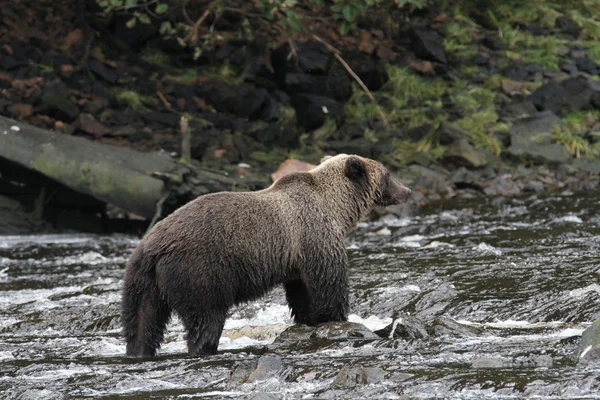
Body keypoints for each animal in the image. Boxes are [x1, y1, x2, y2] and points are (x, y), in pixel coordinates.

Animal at [122, 152, 412, 356]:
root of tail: (154, 246)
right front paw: (337, 318)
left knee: (142, 320)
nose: (407, 191)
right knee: (205, 317)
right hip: (199, 269)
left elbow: (302, 293)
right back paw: (205, 347)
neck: (337, 208)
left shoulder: (296, 258)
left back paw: (138, 351)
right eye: (388, 174)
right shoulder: (315, 235)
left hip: (142, 278)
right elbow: (329, 283)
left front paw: (309, 319)